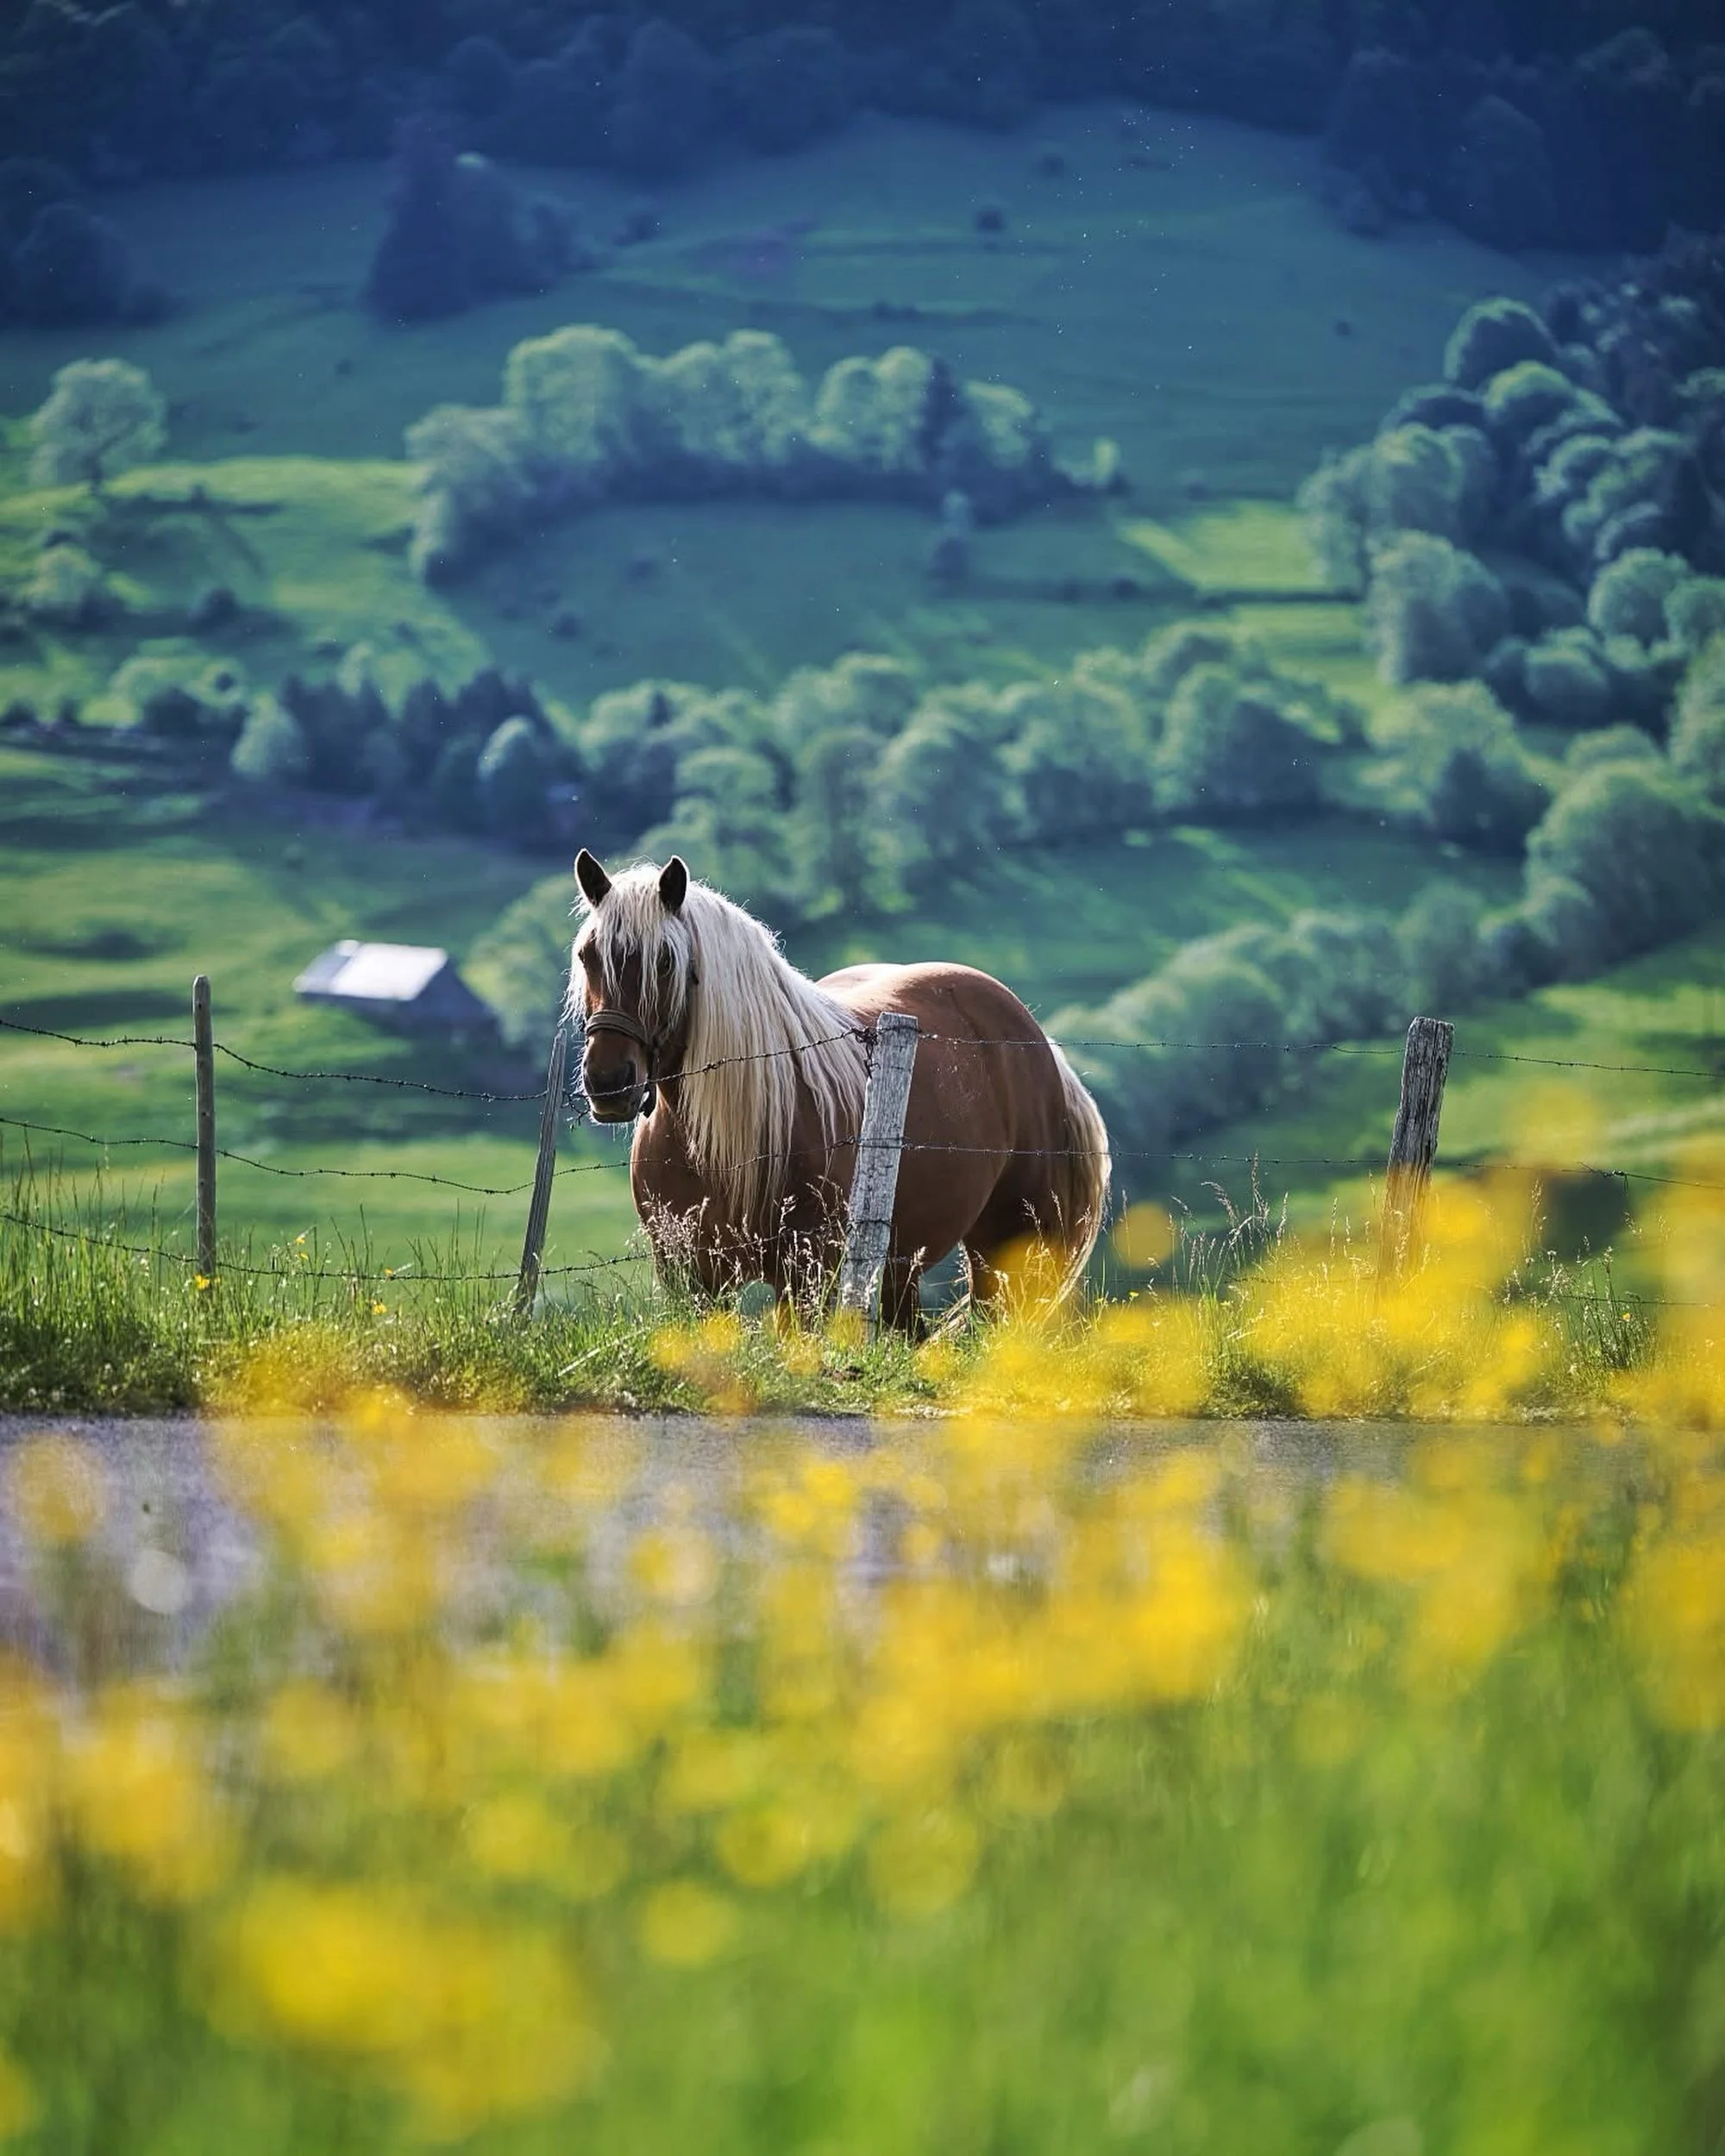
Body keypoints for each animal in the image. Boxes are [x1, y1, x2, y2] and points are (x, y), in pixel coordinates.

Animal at [568, 849, 1111, 1328]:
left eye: (664, 960)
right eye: (587, 955)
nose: (608, 1081)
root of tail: (1037, 1040)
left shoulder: (804, 1275)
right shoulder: (692, 1278)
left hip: (1007, 1250)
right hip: (900, 1267)